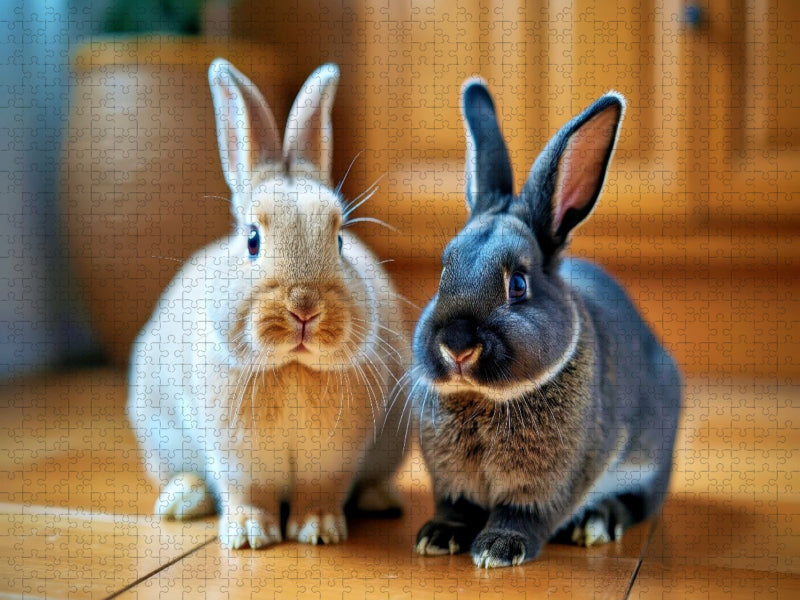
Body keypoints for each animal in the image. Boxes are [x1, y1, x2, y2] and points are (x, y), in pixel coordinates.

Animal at [127, 59, 409, 550]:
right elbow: (246, 493)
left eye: (339, 241)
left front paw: (318, 531)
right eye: (252, 241)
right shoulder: (236, 459)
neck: (292, 368)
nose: (304, 308)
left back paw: (380, 498)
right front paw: (248, 535)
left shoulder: (334, 460)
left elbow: (322, 490)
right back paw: (182, 501)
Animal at [410, 80, 682, 568]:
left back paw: (595, 525)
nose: (456, 345)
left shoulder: (550, 482)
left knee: (637, 503)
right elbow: (457, 507)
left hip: (652, 462)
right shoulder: (453, 482)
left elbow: (524, 514)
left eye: (518, 284)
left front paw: (498, 549)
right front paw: (438, 537)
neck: (484, 397)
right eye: (443, 270)